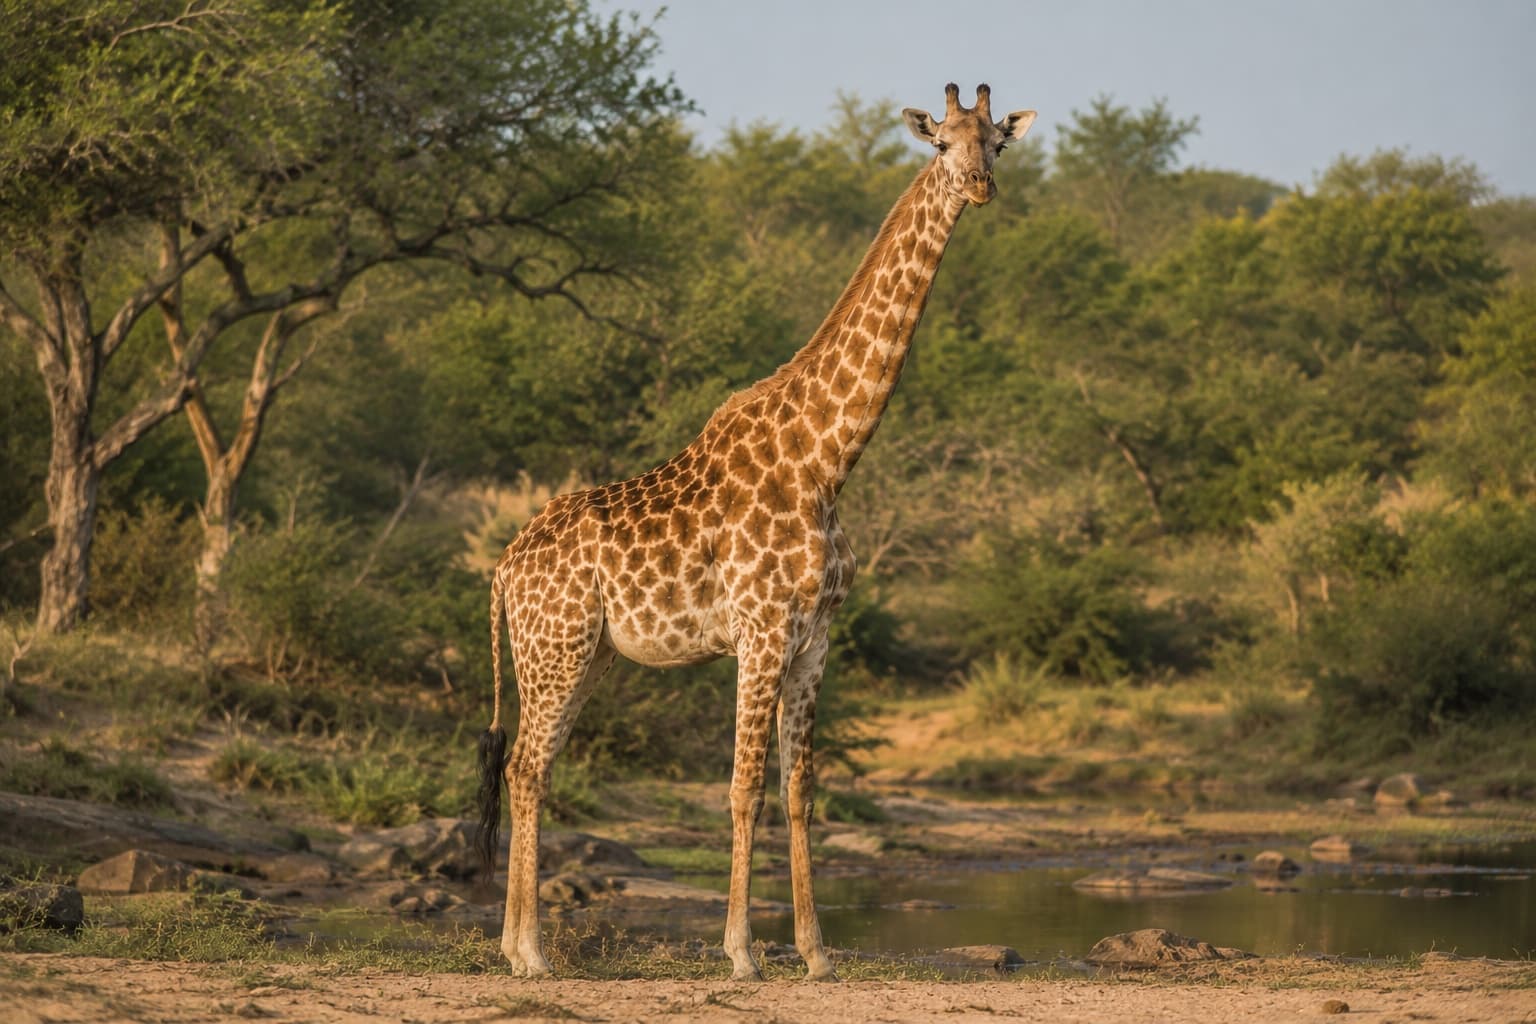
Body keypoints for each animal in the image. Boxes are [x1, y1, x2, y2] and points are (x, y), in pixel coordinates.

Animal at [475, 83, 1036, 981]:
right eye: (942, 143)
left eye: (997, 143)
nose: (980, 188)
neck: (826, 458)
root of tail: (502, 568)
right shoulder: (761, 629)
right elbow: (743, 788)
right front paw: (741, 952)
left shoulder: (815, 638)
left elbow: (800, 790)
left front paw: (816, 952)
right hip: (554, 647)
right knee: (527, 766)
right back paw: (532, 954)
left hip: (583, 654)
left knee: (535, 767)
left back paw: (517, 946)